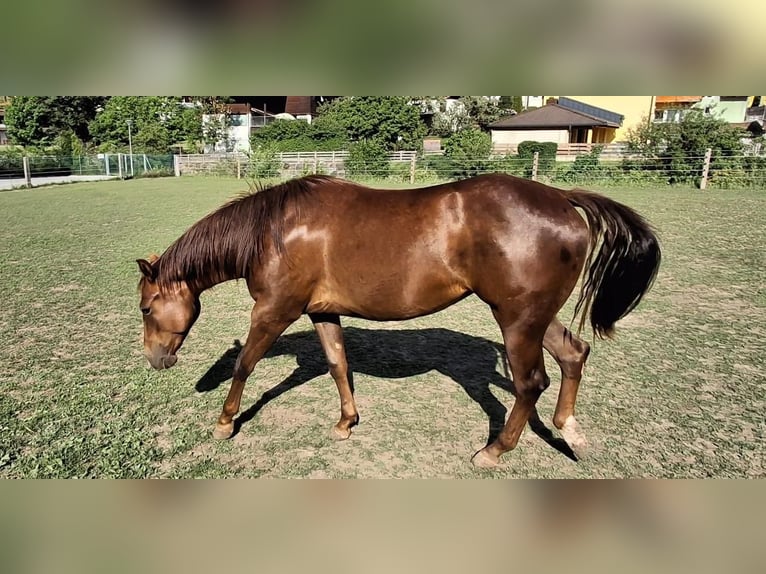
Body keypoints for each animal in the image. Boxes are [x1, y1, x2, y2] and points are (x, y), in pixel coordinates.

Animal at [136, 173, 660, 468]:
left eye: (145, 307)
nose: (156, 360)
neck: (274, 231)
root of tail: (561, 198)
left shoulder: (273, 311)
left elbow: (246, 364)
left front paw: (225, 422)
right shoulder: (322, 311)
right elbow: (338, 365)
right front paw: (346, 423)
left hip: (517, 320)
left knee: (531, 382)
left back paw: (493, 452)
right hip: (531, 316)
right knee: (574, 355)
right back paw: (570, 431)